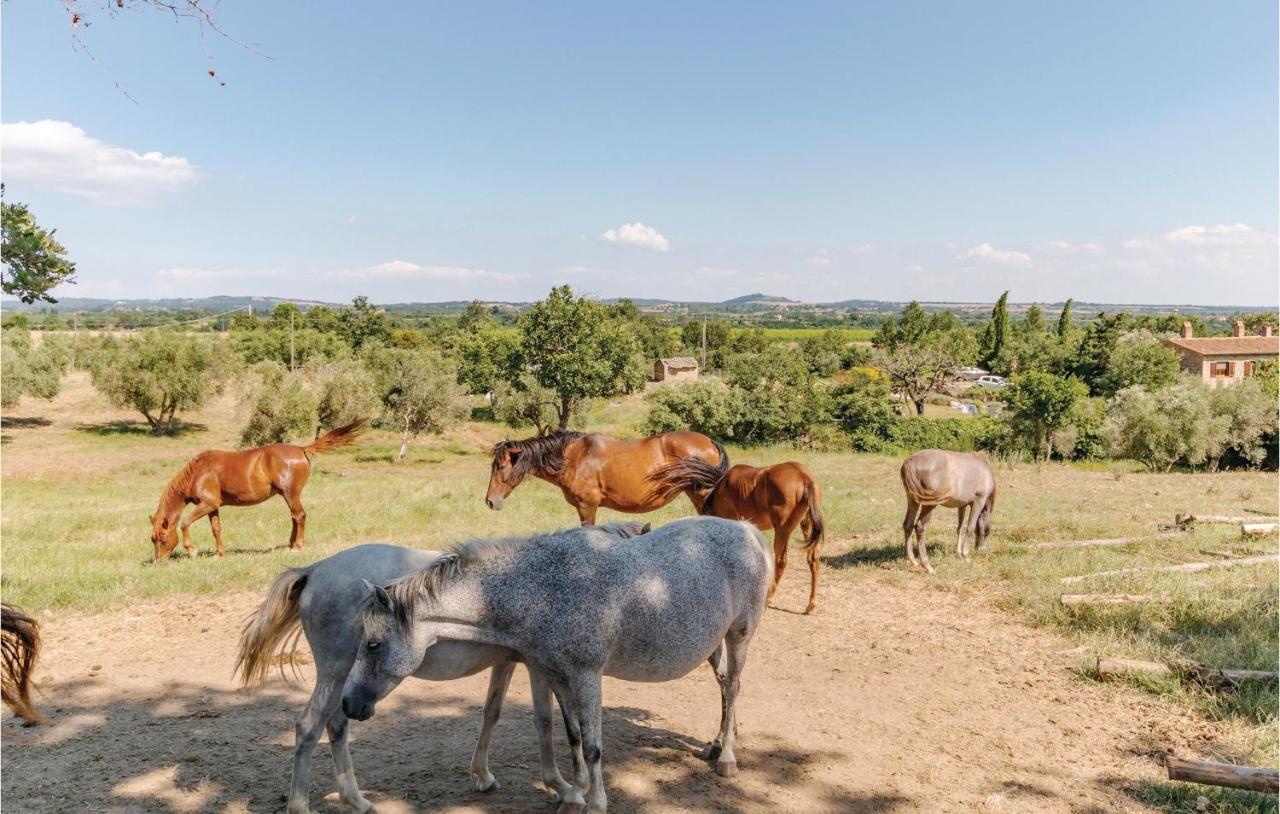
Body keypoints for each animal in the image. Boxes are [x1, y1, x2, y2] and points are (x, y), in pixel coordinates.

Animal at [152, 419, 371, 560]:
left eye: (163, 539)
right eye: (152, 539)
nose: (158, 562)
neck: (199, 472)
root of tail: (302, 449)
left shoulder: (207, 504)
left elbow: (185, 524)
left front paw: (192, 550)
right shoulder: (213, 507)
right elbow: (216, 529)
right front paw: (220, 553)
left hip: (291, 494)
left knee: (299, 516)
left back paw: (297, 546)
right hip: (288, 495)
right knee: (295, 517)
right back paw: (291, 544)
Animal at [340, 517, 773, 808]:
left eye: (373, 644)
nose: (348, 703)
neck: (543, 589)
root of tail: (746, 529)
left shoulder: (586, 676)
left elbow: (593, 745)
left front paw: (595, 801)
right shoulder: (555, 674)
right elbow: (572, 735)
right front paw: (573, 794)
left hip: (739, 635)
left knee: (733, 686)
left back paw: (727, 758)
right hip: (716, 643)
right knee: (724, 685)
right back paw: (715, 745)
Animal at [650, 450, 829, 609]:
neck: (720, 489)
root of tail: (804, 477)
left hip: (782, 530)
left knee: (781, 561)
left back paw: (769, 599)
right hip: (806, 525)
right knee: (813, 559)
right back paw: (811, 605)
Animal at [901, 445, 998, 573]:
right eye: (988, 532)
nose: (983, 550)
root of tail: (911, 462)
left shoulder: (962, 505)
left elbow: (960, 528)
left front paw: (959, 552)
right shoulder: (979, 501)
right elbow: (970, 528)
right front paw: (966, 556)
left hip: (913, 500)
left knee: (908, 525)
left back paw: (913, 561)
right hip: (929, 504)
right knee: (920, 527)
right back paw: (928, 566)